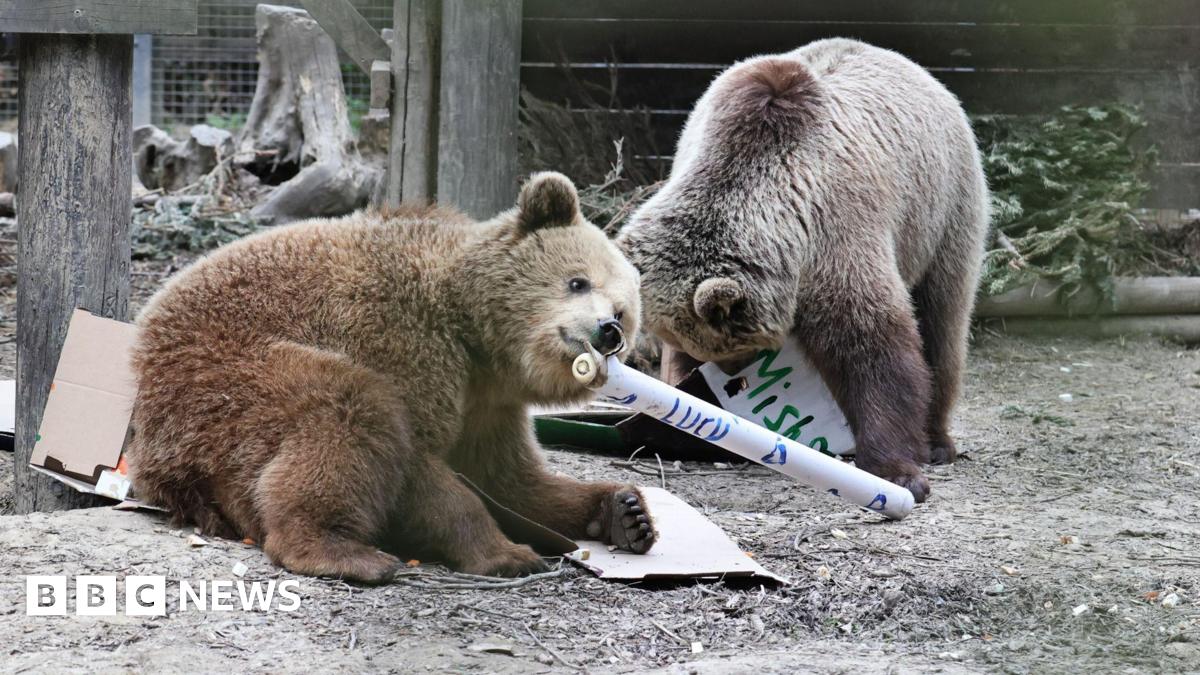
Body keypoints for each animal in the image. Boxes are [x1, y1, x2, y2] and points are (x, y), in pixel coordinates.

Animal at [127, 172, 656, 583]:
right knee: (347, 412)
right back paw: (343, 551)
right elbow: (421, 465)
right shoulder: (400, 338)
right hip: (223, 374)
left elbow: (510, 477)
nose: (606, 331)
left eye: (623, 313)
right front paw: (507, 553)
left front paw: (625, 512)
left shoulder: (488, 405)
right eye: (577, 281)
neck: (475, 338)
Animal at [617, 39, 990, 502]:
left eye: (731, 348)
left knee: (943, 319)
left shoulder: (836, 231)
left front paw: (896, 470)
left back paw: (937, 441)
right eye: (705, 350)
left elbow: (874, 350)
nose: (730, 378)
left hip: (943, 211)